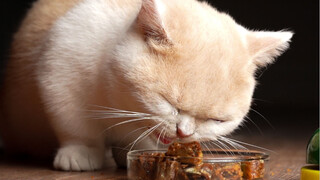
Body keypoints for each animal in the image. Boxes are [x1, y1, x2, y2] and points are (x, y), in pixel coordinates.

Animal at [0, 0, 292, 171]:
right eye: (167, 102)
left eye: (215, 120)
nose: (184, 132)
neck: (111, 98)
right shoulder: (59, 73)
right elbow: (76, 127)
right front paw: (81, 151)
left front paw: (132, 151)